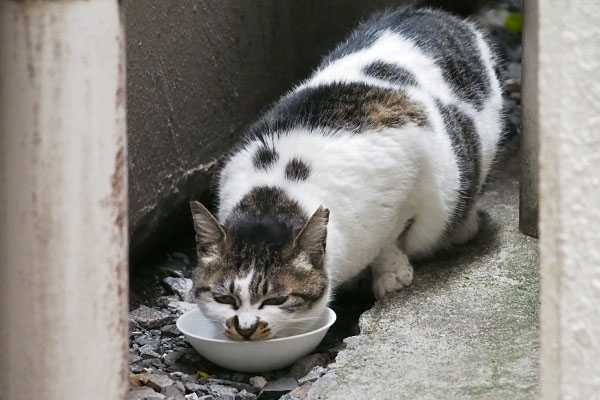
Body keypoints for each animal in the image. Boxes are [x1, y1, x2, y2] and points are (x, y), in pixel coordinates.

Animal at [190, 7, 504, 340]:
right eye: (224, 299)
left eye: (276, 300)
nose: (245, 329)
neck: (275, 193)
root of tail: (434, 14)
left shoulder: (412, 176)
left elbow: (392, 239)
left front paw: (391, 275)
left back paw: (462, 228)